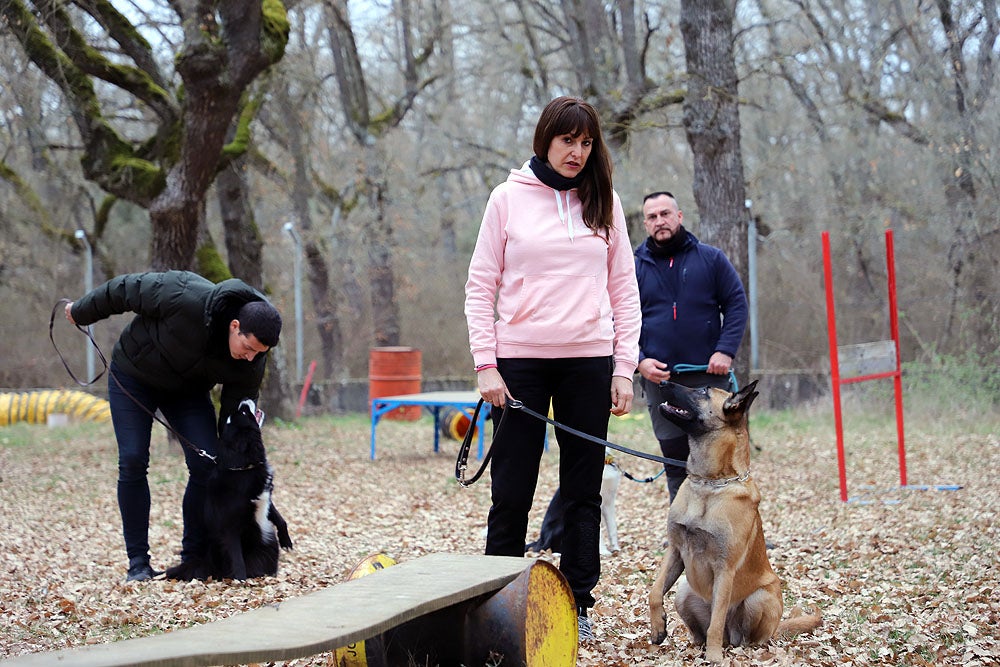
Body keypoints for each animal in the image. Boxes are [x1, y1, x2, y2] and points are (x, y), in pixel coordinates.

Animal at [648, 380, 820, 664]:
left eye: (704, 391)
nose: (661, 380)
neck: (709, 484)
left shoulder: (724, 569)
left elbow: (716, 623)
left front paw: (714, 657)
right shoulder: (675, 551)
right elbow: (654, 591)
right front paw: (657, 626)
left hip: (760, 598)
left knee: (745, 638)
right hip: (684, 590)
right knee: (700, 632)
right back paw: (696, 647)